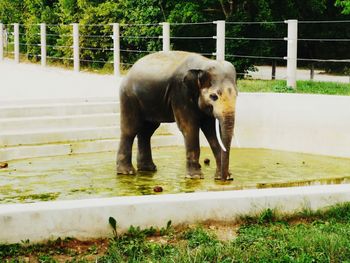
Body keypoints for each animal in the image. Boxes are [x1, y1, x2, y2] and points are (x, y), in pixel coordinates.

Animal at [115, 50, 238, 180]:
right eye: (213, 96)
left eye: (236, 95)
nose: (225, 178)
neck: (203, 64)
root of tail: (130, 70)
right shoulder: (180, 92)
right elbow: (189, 127)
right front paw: (194, 176)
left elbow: (210, 131)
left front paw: (224, 177)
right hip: (129, 97)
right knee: (130, 129)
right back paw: (127, 172)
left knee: (147, 131)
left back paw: (147, 169)